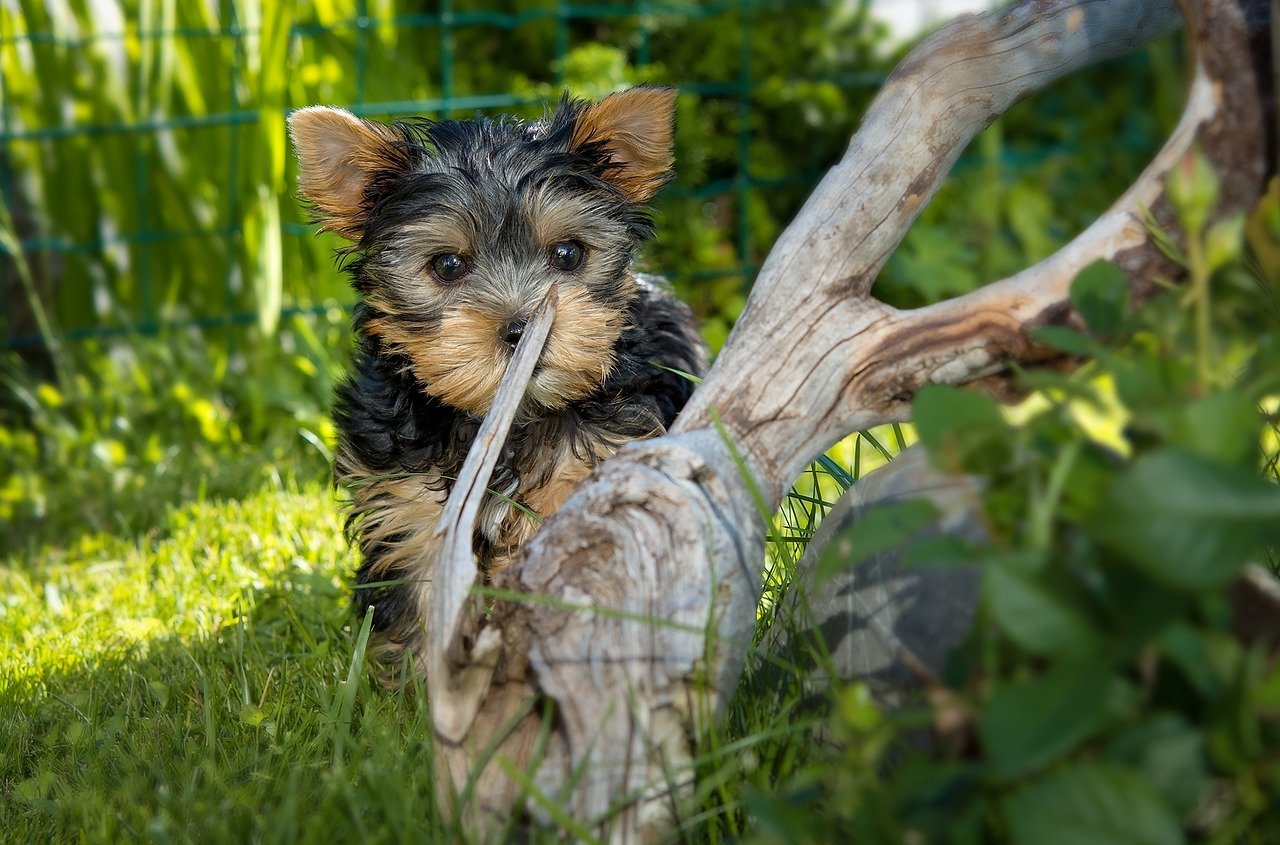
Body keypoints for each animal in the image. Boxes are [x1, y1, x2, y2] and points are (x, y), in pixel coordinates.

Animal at [290, 87, 706, 670]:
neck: (505, 418)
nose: (521, 327)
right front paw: (423, 686)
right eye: (446, 265)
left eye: (568, 254)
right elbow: (422, 594)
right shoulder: (408, 505)